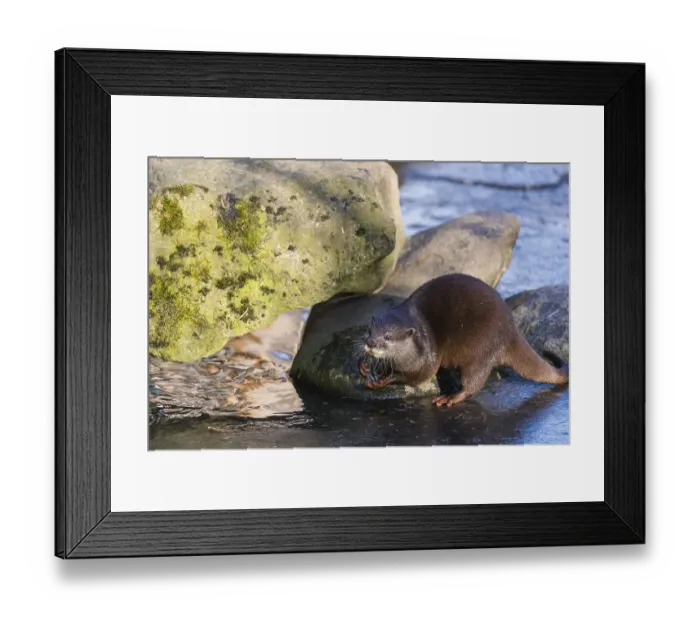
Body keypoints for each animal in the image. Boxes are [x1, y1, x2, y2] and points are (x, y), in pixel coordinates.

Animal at [358, 273, 568, 406]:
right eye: (369, 330)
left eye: (387, 336)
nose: (371, 343)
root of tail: (511, 331)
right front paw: (364, 366)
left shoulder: (426, 360)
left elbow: (418, 375)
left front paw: (384, 379)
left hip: (482, 348)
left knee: (474, 381)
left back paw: (452, 397)